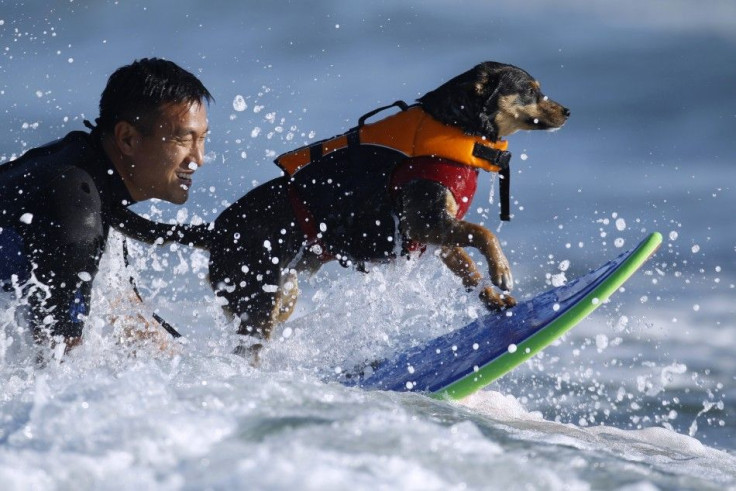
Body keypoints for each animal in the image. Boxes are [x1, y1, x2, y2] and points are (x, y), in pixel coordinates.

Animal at [119, 60, 568, 346]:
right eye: (531, 91)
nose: (567, 109)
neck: (457, 128)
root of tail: (216, 230)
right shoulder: (424, 221)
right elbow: (484, 233)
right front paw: (502, 270)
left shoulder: (439, 237)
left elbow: (469, 269)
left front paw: (493, 300)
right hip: (258, 299)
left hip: (282, 294)